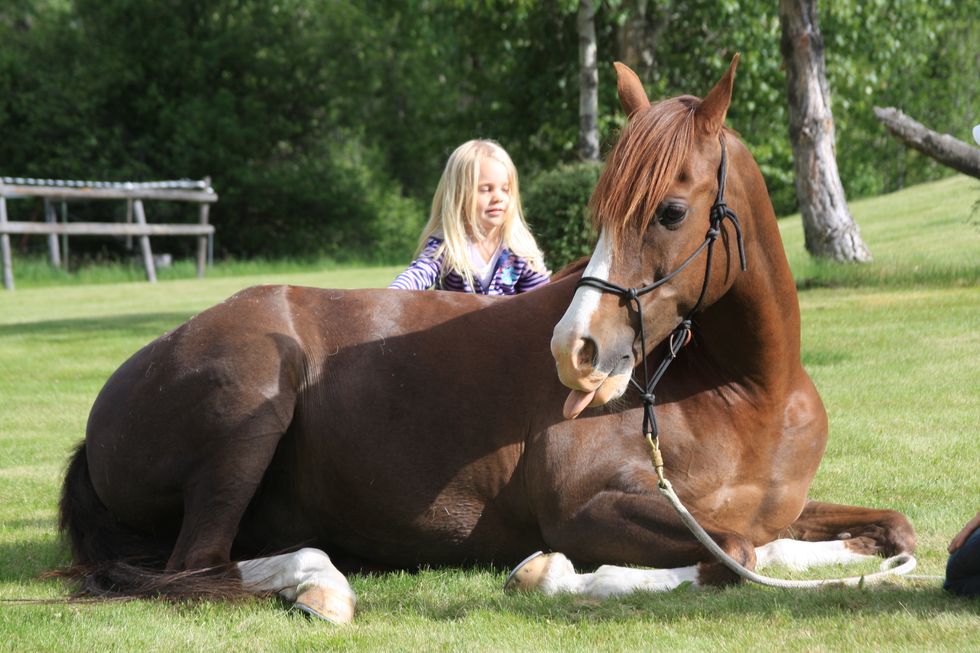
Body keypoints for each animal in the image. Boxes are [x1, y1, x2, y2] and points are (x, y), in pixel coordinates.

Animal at [58, 56, 914, 623]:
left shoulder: (779, 506)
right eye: (601, 209)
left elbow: (872, 529)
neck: (747, 393)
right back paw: (317, 581)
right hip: (251, 407)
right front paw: (552, 575)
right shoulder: (586, 510)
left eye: (671, 211)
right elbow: (731, 553)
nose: (575, 350)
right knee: (193, 568)